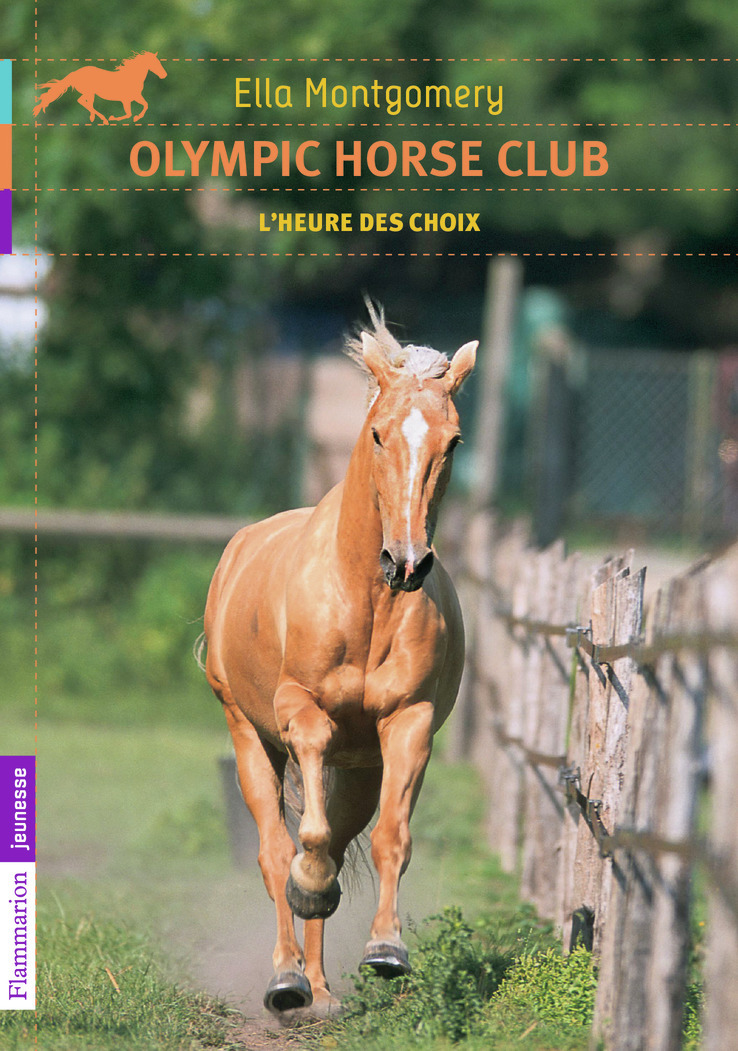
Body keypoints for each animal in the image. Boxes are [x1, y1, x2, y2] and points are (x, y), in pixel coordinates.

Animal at [33, 51, 166, 124]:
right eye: (155, 63)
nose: (164, 75)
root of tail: (76, 73)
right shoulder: (127, 99)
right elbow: (129, 114)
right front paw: (113, 118)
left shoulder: (135, 97)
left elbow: (145, 105)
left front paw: (137, 117)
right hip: (89, 92)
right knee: (81, 101)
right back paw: (103, 119)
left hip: (91, 94)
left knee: (87, 103)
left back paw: (94, 118)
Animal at [203, 307, 477, 1015]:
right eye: (378, 435)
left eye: (453, 442)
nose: (406, 562)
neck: (365, 600)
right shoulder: (300, 711)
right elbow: (306, 842)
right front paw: (310, 888)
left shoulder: (408, 723)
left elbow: (389, 839)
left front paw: (387, 950)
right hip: (247, 736)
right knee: (275, 850)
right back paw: (286, 979)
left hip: (359, 770)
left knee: (342, 839)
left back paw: (320, 989)